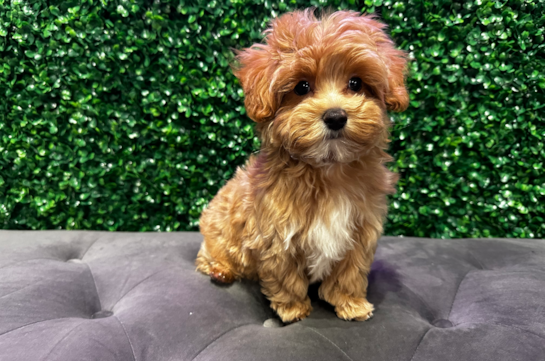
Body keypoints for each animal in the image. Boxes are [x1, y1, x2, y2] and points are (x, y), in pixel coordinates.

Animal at [197, 9, 408, 324]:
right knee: (210, 253)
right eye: (302, 87)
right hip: (217, 229)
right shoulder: (275, 232)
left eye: (356, 83)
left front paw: (351, 304)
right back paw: (220, 269)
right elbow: (284, 274)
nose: (335, 116)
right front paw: (293, 310)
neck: (327, 169)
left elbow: (350, 271)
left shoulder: (361, 230)